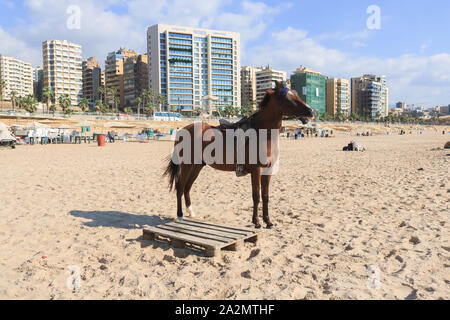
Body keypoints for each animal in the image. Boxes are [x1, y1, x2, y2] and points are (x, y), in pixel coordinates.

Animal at [163, 81, 314, 229]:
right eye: (289, 98)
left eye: (296, 93)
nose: (311, 111)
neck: (262, 133)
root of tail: (184, 130)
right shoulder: (256, 170)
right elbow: (256, 195)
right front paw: (256, 222)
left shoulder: (268, 170)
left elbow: (265, 196)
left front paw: (268, 222)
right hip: (187, 165)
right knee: (180, 187)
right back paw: (180, 215)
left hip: (197, 166)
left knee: (187, 187)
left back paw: (191, 212)